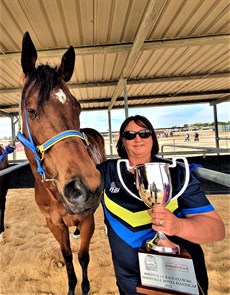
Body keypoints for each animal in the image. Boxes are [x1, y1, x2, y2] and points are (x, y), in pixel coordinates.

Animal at [18, 32, 106, 295]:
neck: (55, 194)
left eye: (77, 107)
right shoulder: (54, 225)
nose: (86, 188)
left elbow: (84, 257)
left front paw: (85, 287)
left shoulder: (88, 220)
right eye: (31, 110)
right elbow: (67, 257)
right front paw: (71, 287)